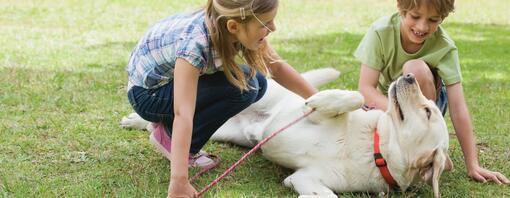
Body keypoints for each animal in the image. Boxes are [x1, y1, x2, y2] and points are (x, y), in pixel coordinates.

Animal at [121, 68, 452, 198]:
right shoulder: (308, 114)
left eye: (427, 111)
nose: (409, 76)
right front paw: (324, 99)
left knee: (168, 128)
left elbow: (326, 195)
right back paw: (133, 120)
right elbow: (355, 98)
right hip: (258, 91)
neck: (375, 148)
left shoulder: (305, 177)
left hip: (227, 132)